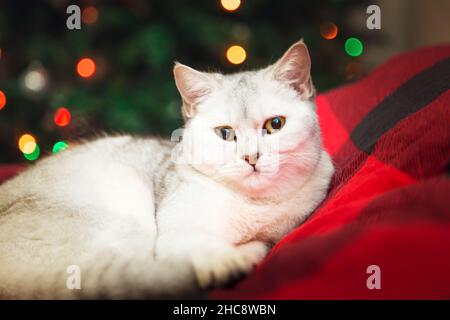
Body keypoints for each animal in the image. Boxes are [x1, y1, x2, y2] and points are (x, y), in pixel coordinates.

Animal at [0, 40, 334, 300]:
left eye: (275, 124)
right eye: (225, 134)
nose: (251, 157)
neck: (256, 209)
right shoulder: (178, 234)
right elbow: (203, 252)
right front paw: (228, 262)